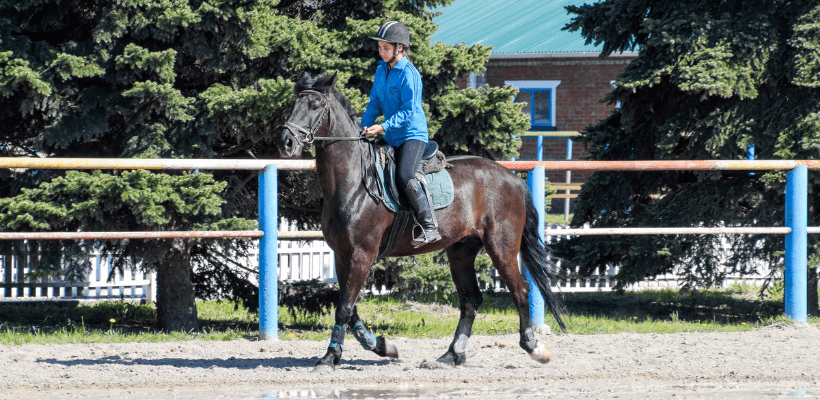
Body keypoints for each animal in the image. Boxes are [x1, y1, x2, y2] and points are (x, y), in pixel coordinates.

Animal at [276, 71, 564, 372]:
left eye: (315, 106)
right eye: (293, 105)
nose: (286, 142)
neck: (354, 182)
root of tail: (512, 178)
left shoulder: (361, 254)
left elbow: (344, 308)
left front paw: (330, 357)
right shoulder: (342, 255)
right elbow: (349, 307)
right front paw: (381, 346)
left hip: (502, 246)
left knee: (520, 290)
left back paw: (534, 347)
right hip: (461, 250)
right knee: (470, 299)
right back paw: (451, 354)